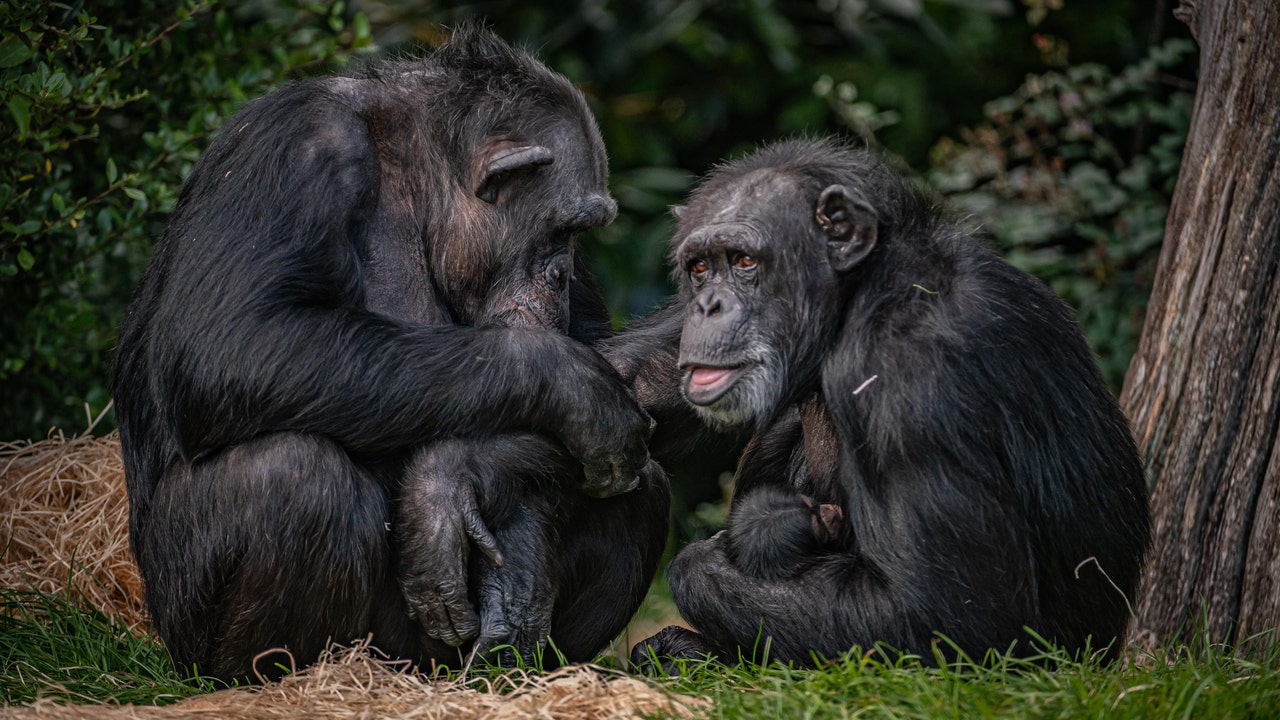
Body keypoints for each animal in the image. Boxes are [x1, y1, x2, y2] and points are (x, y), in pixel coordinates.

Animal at [113, 26, 670, 676]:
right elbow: (232, 339)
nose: (562, 272)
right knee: (292, 477)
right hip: (191, 624)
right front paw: (572, 386)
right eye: (566, 228)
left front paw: (472, 516)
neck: (421, 180)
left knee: (645, 485)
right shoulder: (293, 145)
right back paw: (273, 677)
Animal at [609, 137, 1152, 666]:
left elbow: (945, 617)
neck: (858, 297)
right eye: (700, 268)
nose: (708, 305)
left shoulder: (913, 384)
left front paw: (705, 560)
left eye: (745, 262)